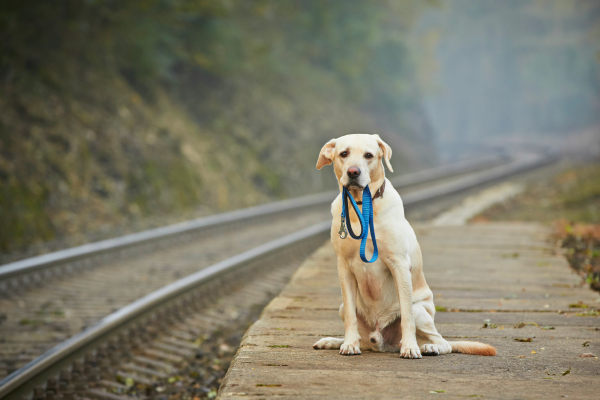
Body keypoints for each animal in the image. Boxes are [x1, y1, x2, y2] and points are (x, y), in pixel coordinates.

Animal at [312, 133, 494, 358]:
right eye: (343, 154)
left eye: (369, 155)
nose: (353, 172)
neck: (362, 207)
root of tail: (381, 342)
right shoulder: (344, 266)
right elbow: (351, 318)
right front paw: (349, 344)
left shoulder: (398, 264)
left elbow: (406, 315)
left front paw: (409, 347)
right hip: (342, 308)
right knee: (357, 328)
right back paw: (334, 341)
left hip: (421, 311)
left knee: (443, 342)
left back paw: (428, 347)